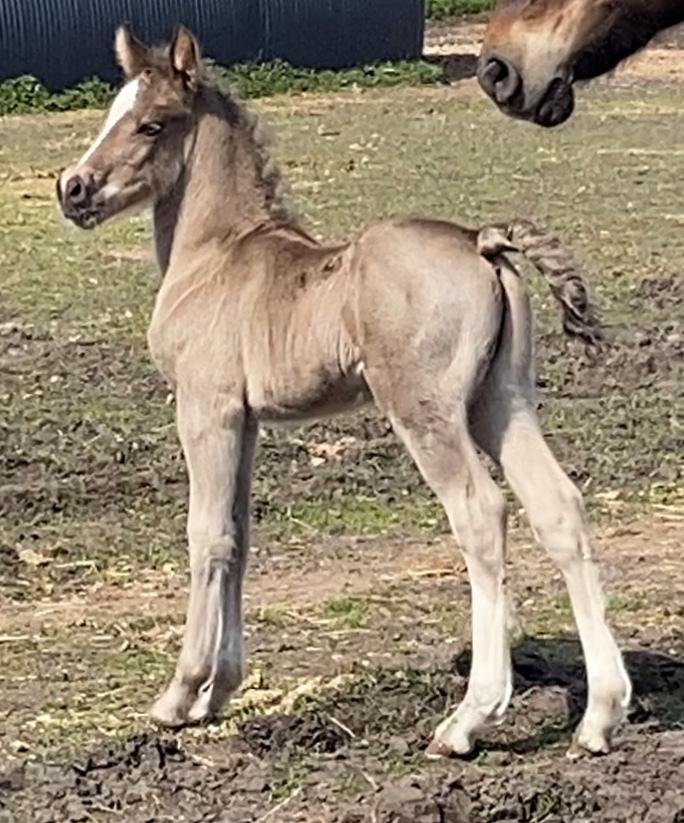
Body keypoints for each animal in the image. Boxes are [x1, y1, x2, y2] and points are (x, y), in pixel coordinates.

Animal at [58, 27, 632, 760]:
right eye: (112, 109)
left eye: (152, 122)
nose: (73, 189)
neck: (216, 254)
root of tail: (483, 242)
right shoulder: (248, 421)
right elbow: (241, 534)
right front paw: (221, 691)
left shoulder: (206, 408)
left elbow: (207, 534)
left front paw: (180, 696)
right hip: (501, 402)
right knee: (559, 506)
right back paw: (599, 716)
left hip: (426, 411)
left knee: (480, 514)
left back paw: (466, 720)